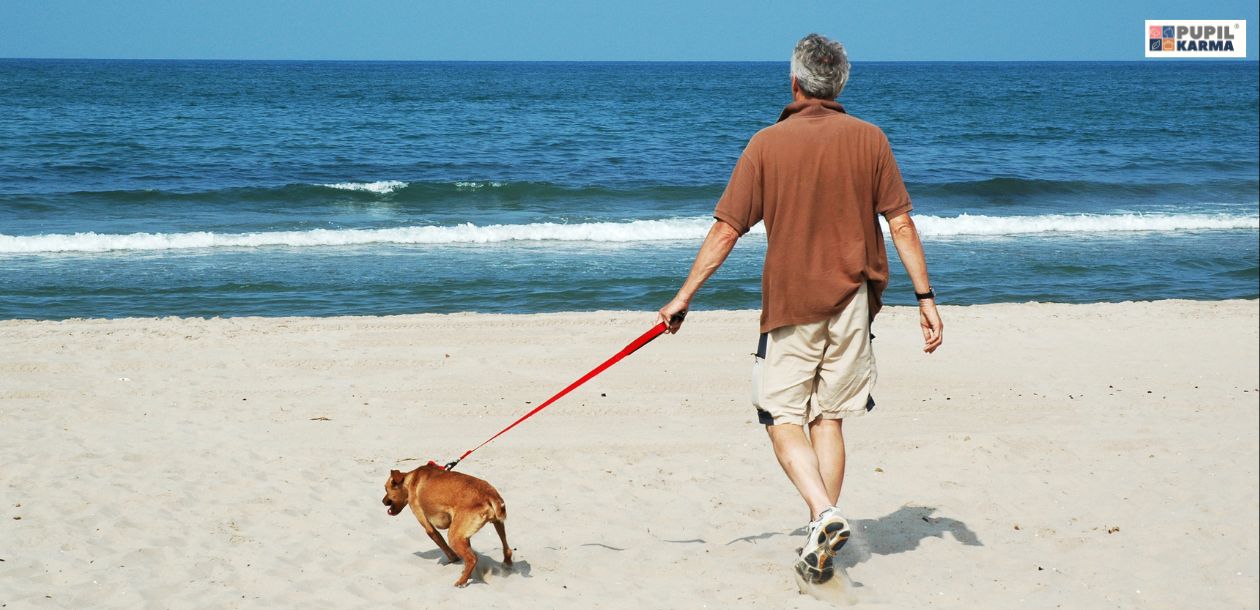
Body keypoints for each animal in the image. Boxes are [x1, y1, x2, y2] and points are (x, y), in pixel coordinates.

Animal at [378, 461, 511, 587]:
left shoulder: (428, 527)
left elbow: (444, 546)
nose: (383, 501)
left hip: (453, 536)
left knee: (472, 558)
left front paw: (454, 559)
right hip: (497, 524)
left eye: (385, 489)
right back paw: (507, 563)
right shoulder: (464, 535)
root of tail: (489, 493)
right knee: (506, 547)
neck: (411, 479)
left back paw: (461, 581)